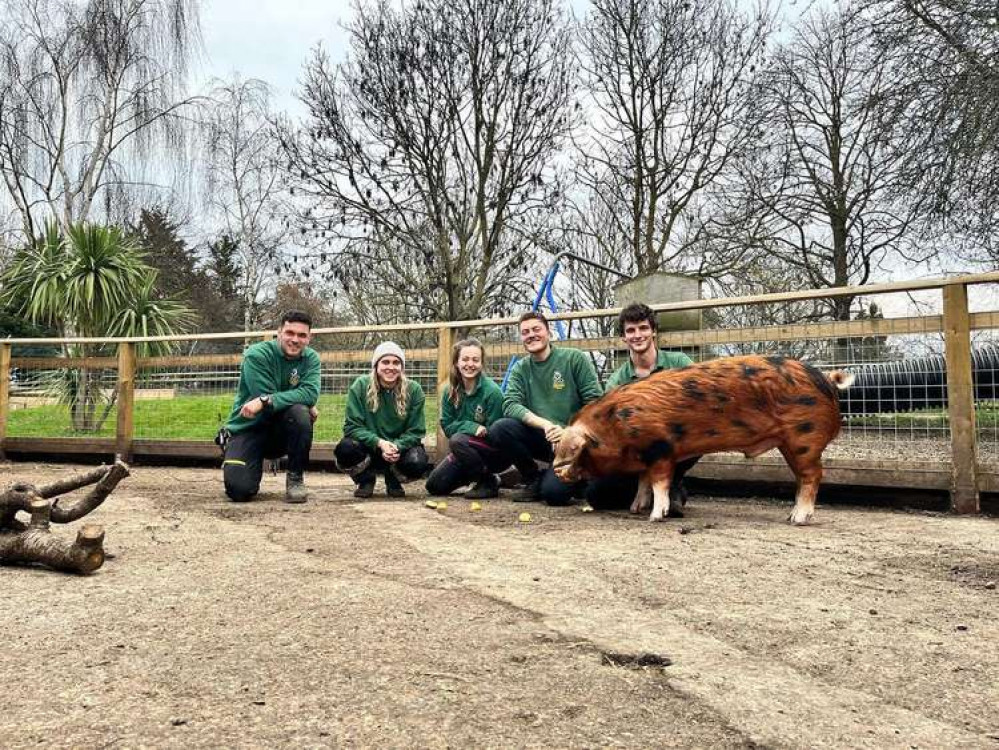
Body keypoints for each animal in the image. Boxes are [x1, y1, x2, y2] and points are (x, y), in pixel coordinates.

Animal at [552, 356, 856, 524]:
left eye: (576, 450)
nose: (558, 473)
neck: (615, 423)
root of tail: (827, 379)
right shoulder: (646, 455)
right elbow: (643, 482)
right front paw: (635, 509)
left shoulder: (661, 448)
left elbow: (659, 483)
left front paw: (655, 516)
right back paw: (791, 515)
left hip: (804, 438)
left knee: (812, 476)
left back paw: (798, 519)